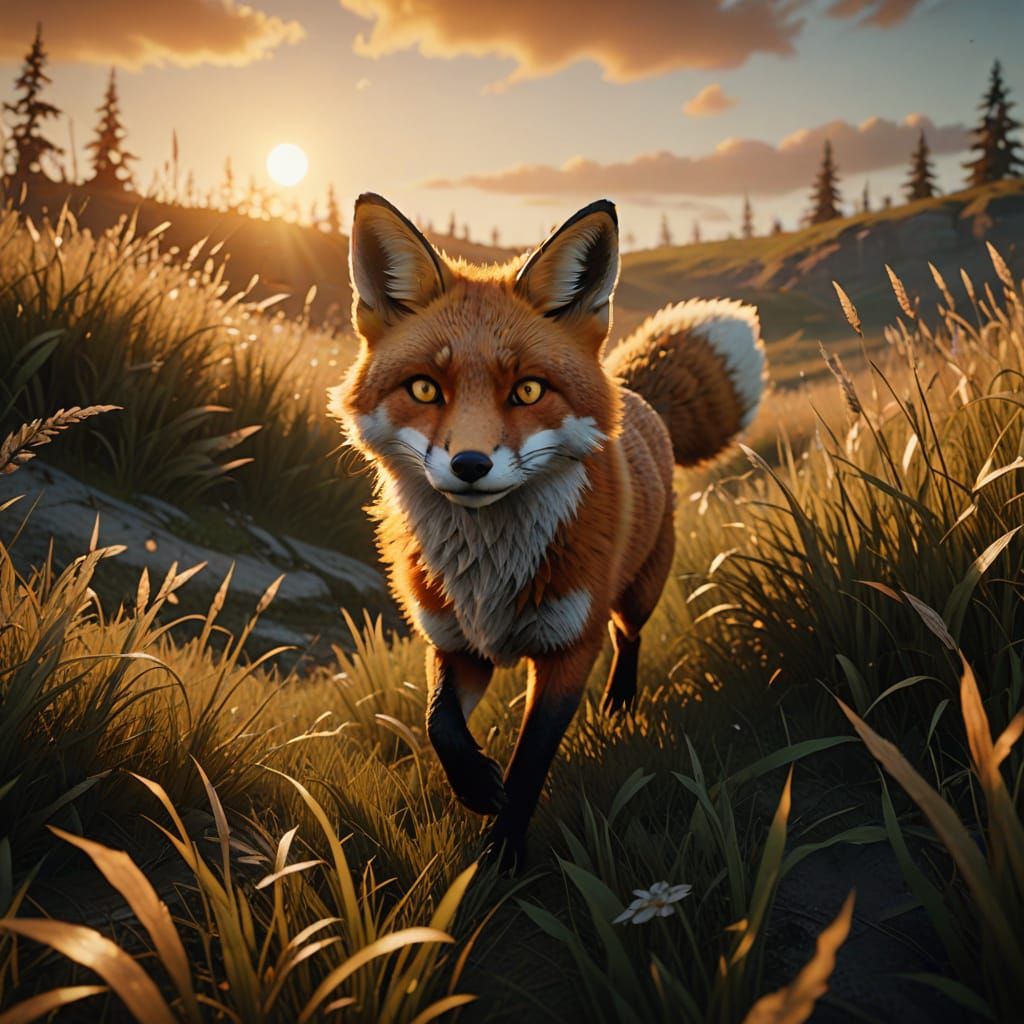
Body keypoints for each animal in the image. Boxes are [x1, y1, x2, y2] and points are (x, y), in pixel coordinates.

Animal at [331, 193, 766, 869]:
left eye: (528, 389)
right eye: (425, 388)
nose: (470, 465)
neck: (490, 573)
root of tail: (634, 394)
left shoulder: (567, 650)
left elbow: (531, 760)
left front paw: (501, 855)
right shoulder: (455, 642)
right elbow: (439, 724)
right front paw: (476, 786)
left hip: (638, 591)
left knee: (629, 637)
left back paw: (620, 706)